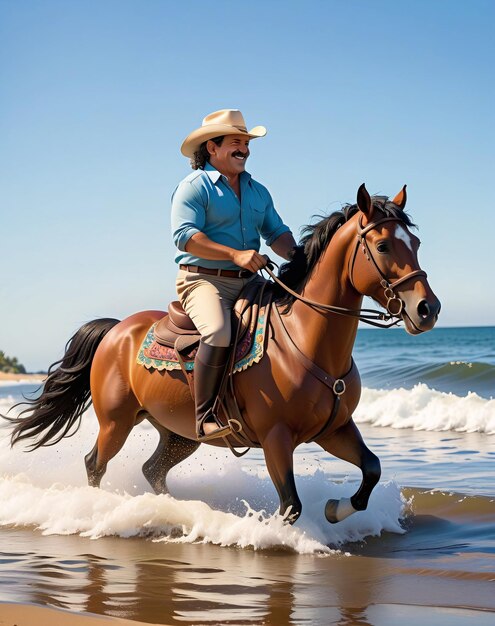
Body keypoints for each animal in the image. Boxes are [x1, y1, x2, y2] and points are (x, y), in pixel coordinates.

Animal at [6, 186, 442, 528]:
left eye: (416, 244)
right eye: (383, 246)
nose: (427, 309)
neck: (305, 339)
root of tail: (116, 330)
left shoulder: (334, 429)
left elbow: (371, 469)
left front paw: (336, 510)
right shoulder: (276, 438)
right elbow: (290, 506)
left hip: (179, 433)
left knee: (152, 469)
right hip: (117, 422)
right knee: (95, 463)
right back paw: (97, 509)